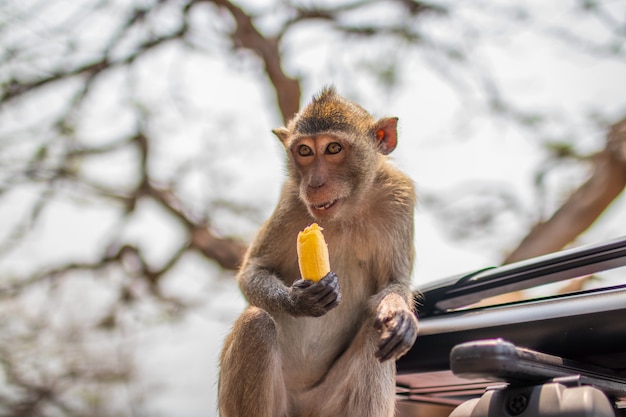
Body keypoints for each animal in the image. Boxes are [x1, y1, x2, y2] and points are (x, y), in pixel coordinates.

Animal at [217, 87, 416, 416]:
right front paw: (298, 299)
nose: (314, 183)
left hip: (326, 404)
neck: (346, 211)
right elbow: (254, 269)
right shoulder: (290, 199)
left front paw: (398, 313)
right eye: (305, 151)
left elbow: (394, 282)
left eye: (333, 148)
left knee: (376, 333)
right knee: (255, 323)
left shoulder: (399, 196)